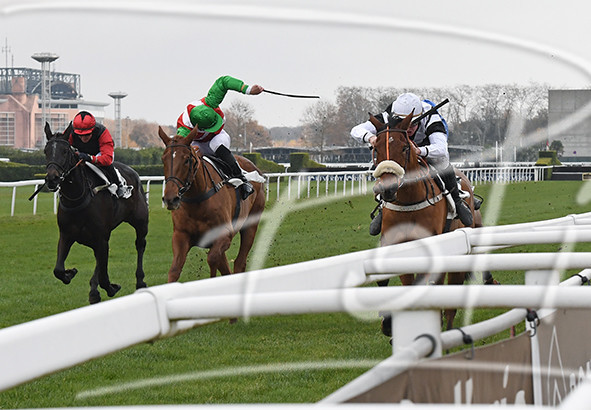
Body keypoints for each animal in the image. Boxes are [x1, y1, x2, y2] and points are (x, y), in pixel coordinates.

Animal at [43, 123, 149, 304]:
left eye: (65, 151)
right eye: (46, 151)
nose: (52, 179)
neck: (77, 198)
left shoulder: (101, 237)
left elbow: (104, 276)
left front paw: (111, 288)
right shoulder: (67, 234)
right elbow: (58, 269)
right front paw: (70, 273)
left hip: (140, 222)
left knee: (140, 244)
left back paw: (140, 281)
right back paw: (93, 289)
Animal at [157, 126, 266, 282]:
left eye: (186, 160)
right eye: (163, 159)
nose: (170, 199)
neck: (197, 201)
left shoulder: (224, 235)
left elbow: (212, 259)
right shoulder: (180, 235)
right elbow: (174, 270)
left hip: (251, 225)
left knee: (239, 262)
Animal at [369, 112, 476, 332]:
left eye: (405, 147)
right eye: (376, 149)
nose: (387, 189)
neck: (409, 200)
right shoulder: (394, 242)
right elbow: (390, 279)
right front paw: (388, 322)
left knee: (451, 290)